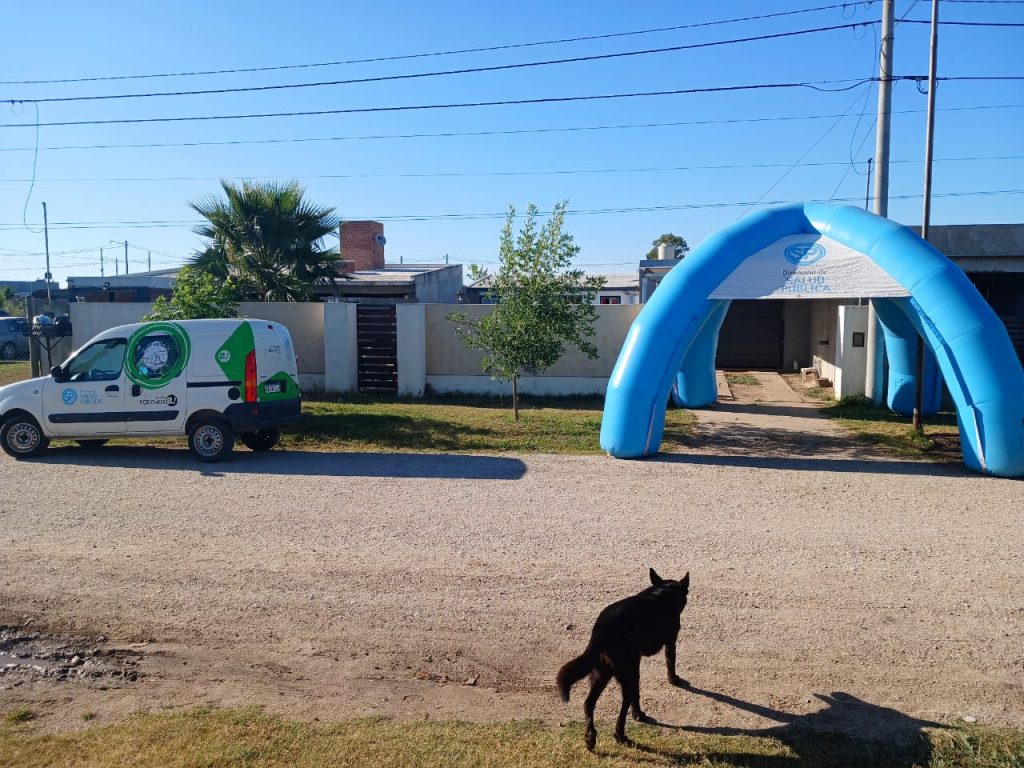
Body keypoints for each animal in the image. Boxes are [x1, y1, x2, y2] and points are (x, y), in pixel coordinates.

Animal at [557, 573, 692, 753]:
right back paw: (622, 735)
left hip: (603, 673)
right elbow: (671, 663)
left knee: (588, 703)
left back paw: (590, 738)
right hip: (627, 673)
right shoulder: (671, 640)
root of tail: (601, 629)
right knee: (622, 712)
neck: (664, 589)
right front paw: (674, 679)